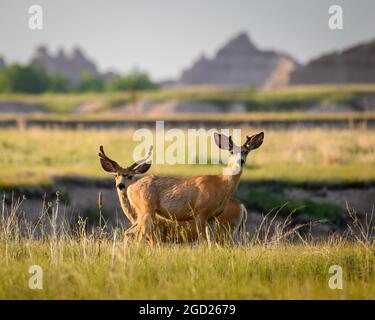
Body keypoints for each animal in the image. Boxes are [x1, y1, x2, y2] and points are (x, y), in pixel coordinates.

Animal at [98, 131, 266, 241]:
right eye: (231, 151)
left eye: (246, 151)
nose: (240, 161)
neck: (221, 183)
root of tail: (242, 207)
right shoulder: (200, 213)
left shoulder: (210, 218)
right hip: (147, 211)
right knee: (136, 236)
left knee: (132, 234)